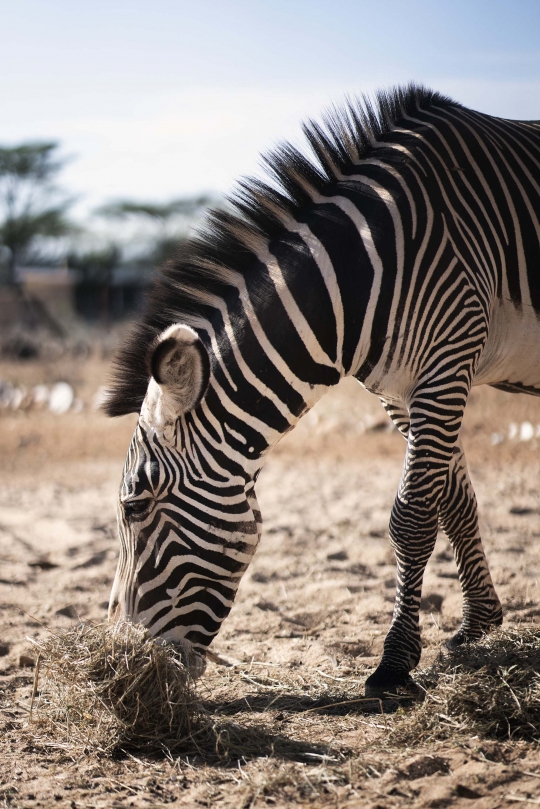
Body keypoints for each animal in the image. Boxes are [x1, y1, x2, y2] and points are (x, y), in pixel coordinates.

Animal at [105, 85, 540, 697]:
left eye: (135, 505)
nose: (121, 659)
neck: (363, 269)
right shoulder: (402, 389)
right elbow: (454, 499)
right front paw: (477, 625)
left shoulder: (447, 360)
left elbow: (411, 516)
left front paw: (395, 663)